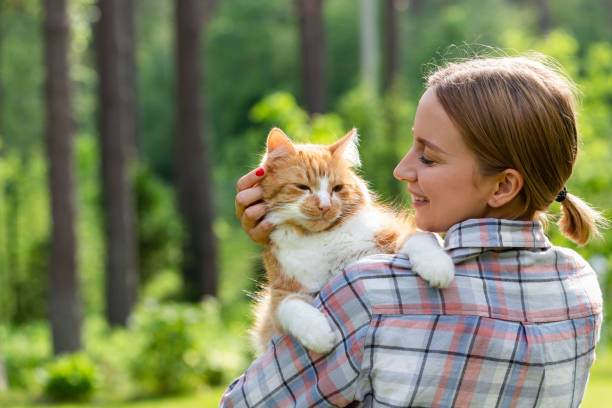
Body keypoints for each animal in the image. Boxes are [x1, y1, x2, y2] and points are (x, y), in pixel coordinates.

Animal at [249, 127, 454, 354]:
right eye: (303, 187)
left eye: (337, 188)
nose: (325, 206)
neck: (322, 238)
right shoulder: (279, 296)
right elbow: (292, 308)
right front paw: (320, 336)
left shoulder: (395, 233)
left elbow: (420, 239)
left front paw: (438, 268)